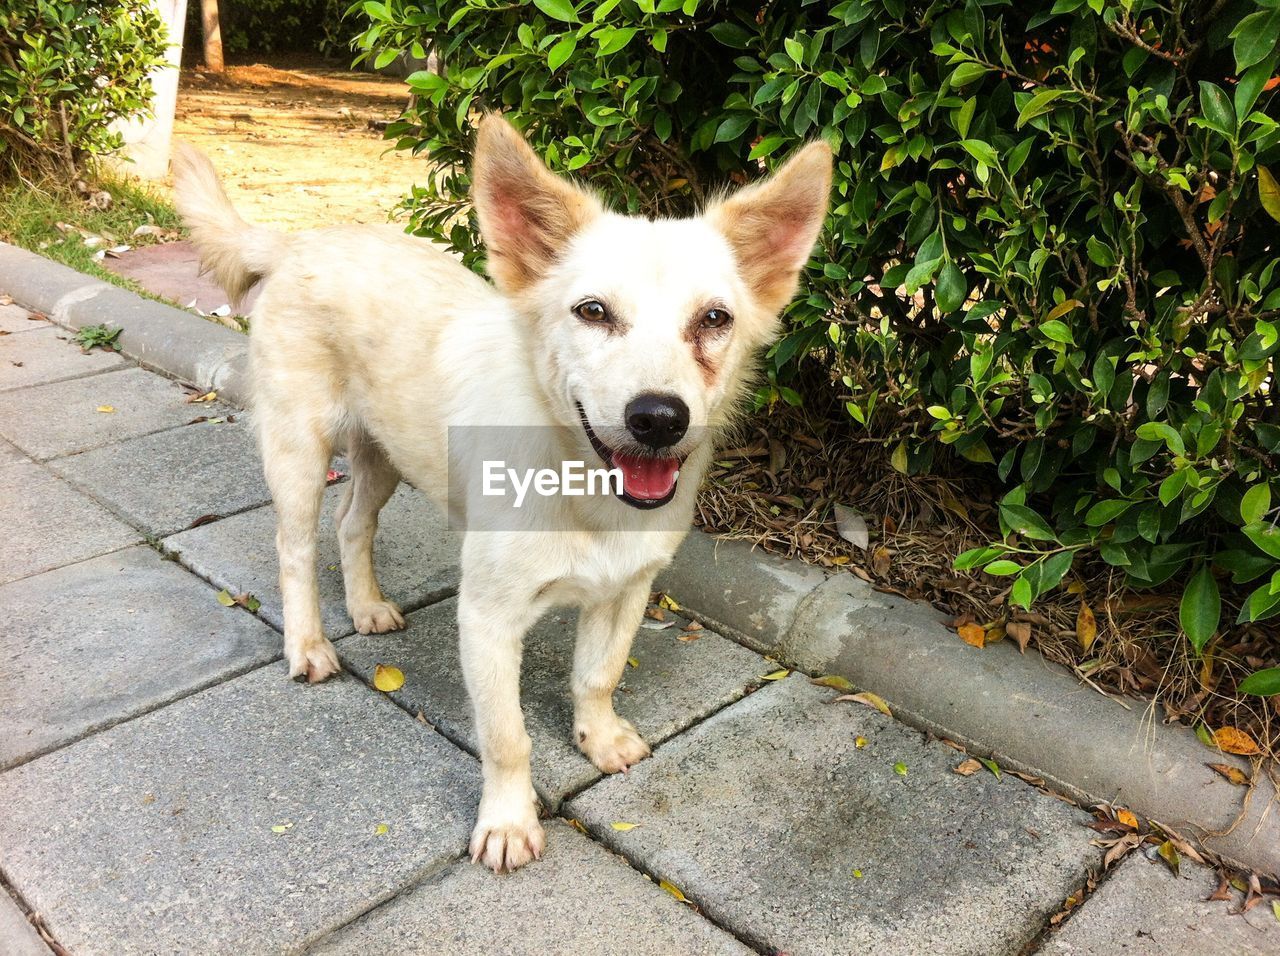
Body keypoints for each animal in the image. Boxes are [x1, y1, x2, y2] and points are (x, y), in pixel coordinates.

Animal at [172, 115, 829, 870]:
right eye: (593, 311)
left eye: (715, 319)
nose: (659, 418)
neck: (582, 486)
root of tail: (302, 239)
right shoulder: (486, 619)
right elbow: (508, 737)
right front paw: (509, 823)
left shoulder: (625, 591)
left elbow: (598, 676)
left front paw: (599, 739)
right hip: (299, 452)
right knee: (295, 549)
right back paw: (307, 645)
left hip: (385, 455)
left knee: (351, 525)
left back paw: (366, 607)